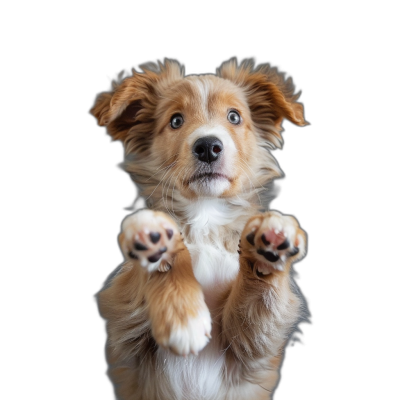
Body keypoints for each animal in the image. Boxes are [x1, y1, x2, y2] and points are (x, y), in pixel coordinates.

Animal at [90, 59, 310, 400]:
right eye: (176, 120)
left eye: (234, 116)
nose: (208, 146)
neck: (206, 219)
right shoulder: (123, 324)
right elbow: (147, 272)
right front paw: (184, 316)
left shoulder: (251, 348)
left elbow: (258, 301)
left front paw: (270, 241)